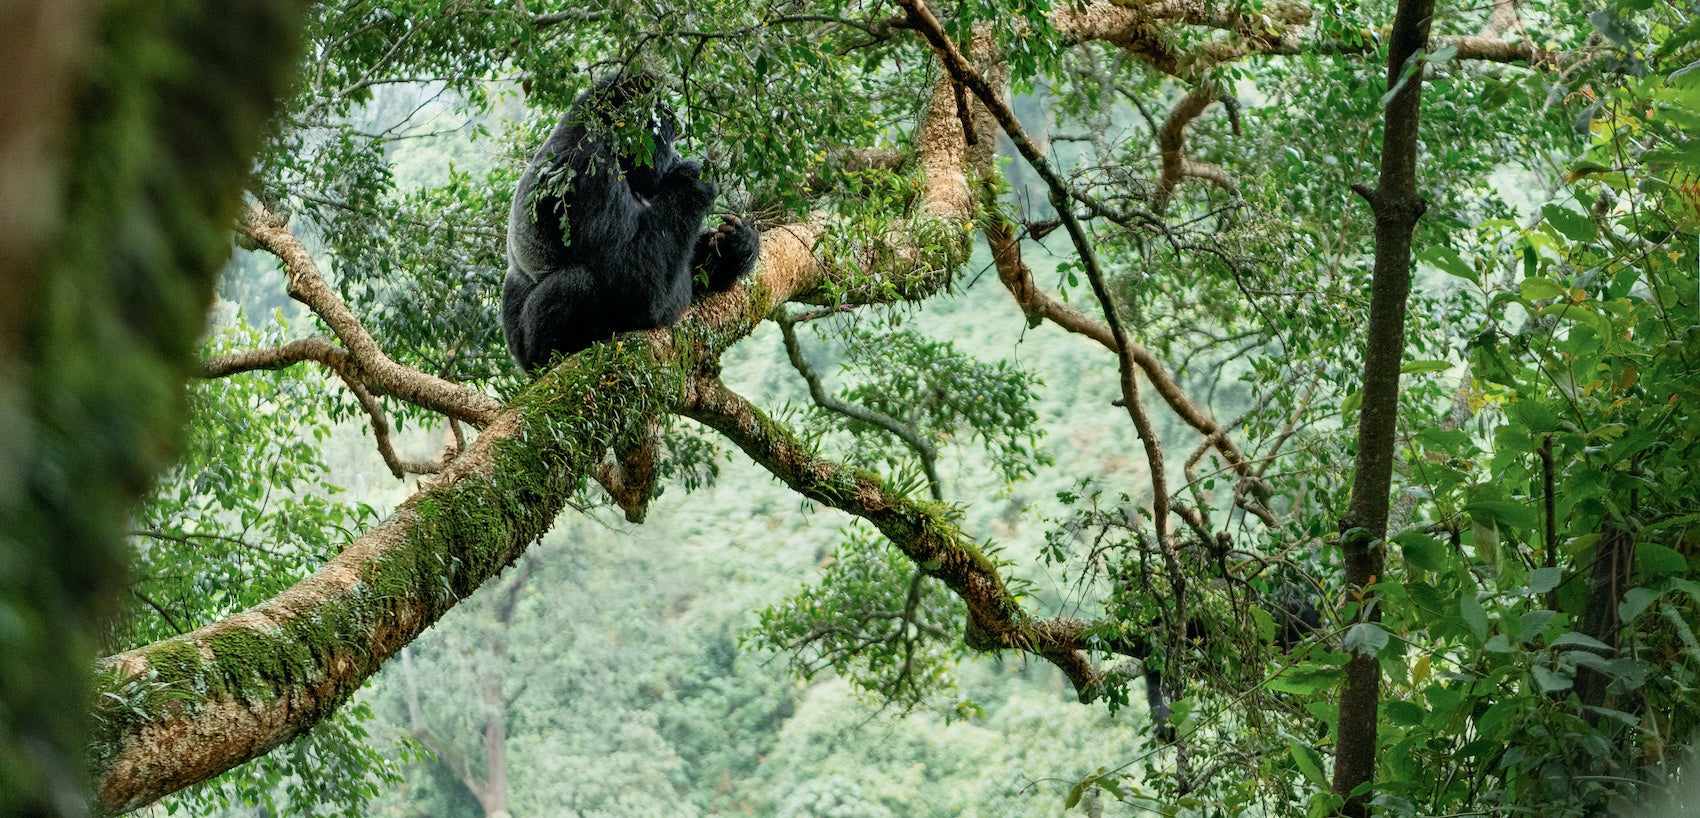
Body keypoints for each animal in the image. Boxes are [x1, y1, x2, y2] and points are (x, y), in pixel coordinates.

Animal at [499, 73, 761, 372]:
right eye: (669, 139)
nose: (677, 156)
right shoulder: (590, 169)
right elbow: (635, 280)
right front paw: (691, 180)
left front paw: (736, 247)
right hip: (530, 355)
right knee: (581, 283)